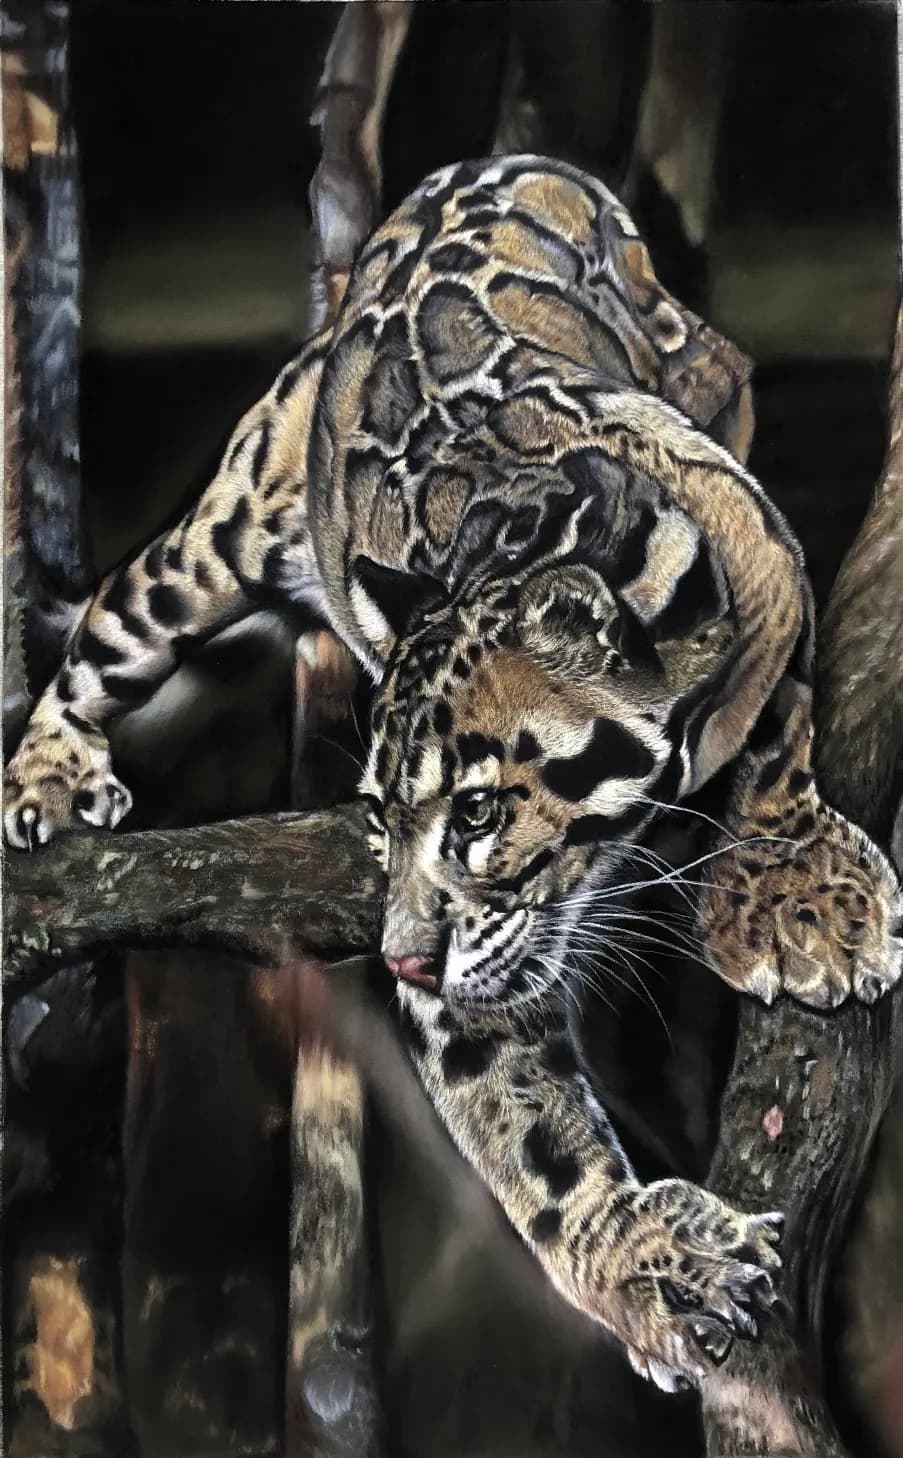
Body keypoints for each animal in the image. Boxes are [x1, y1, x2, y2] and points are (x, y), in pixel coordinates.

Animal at [5, 155, 901, 1390]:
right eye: (382, 820)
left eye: (478, 812)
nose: (401, 962)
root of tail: (485, 165)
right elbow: (529, 1133)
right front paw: (655, 1268)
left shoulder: (769, 566)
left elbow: (778, 723)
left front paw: (793, 895)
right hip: (219, 533)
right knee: (106, 626)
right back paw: (46, 776)